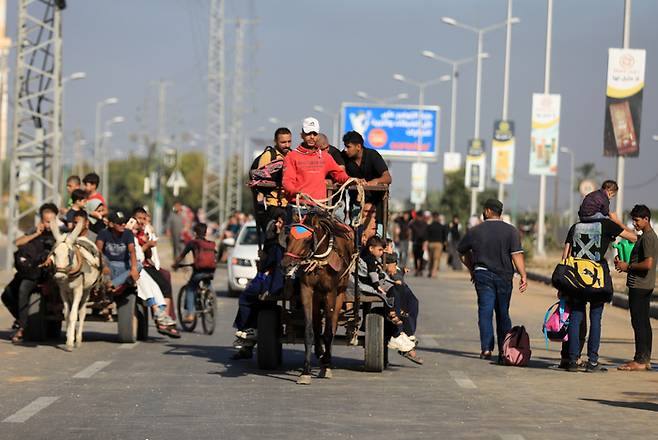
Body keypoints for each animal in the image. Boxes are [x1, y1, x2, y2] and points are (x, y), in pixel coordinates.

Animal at [50, 219, 102, 350]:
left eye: (69, 254)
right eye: (54, 253)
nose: (59, 276)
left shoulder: (78, 290)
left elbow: (74, 314)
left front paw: (70, 343)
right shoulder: (63, 291)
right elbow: (67, 315)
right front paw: (69, 336)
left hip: (86, 290)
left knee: (82, 312)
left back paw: (78, 339)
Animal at [280, 210, 356, 384]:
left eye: (308, 240)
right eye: (288, 238)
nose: (286, 264)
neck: (319, 261)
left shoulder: (330, 292)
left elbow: (328, 332)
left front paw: (326, 366)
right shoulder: (307, 290)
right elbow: (309, 331)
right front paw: (305, 372)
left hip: (339, 292)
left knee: (333, 325)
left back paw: (326, 359)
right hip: (317, 297)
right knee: (316, 324)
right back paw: (320, 352)